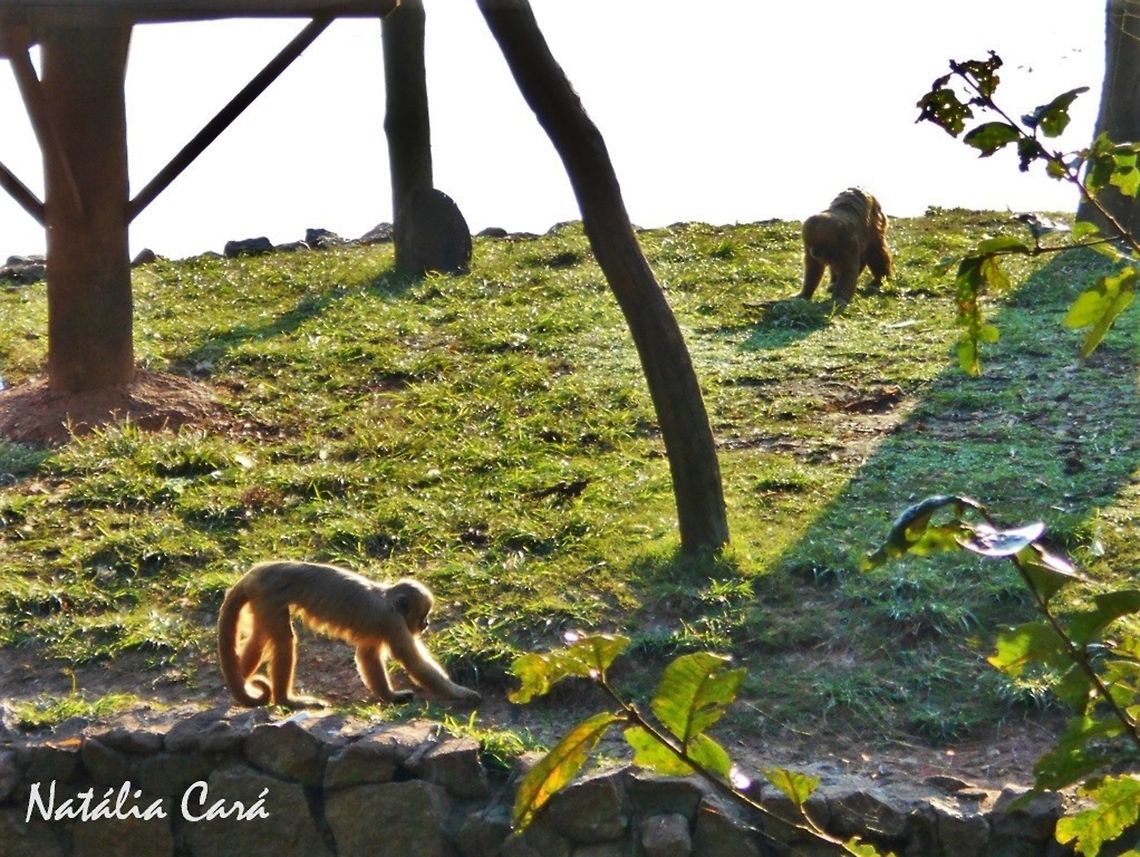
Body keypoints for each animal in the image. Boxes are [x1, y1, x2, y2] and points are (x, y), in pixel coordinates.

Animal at [217, 560, 480, 708]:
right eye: (423, 614)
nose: (425, 624)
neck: (389, 599)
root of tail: (257, 571)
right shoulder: (393, 622)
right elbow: (414, 663)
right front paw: (460, 693)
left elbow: (367, 656)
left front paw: (390, 696)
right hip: (269, 594)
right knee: (283, 641)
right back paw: (285, 700)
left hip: (262, 599)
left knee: (261, 637)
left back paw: (241, 687)